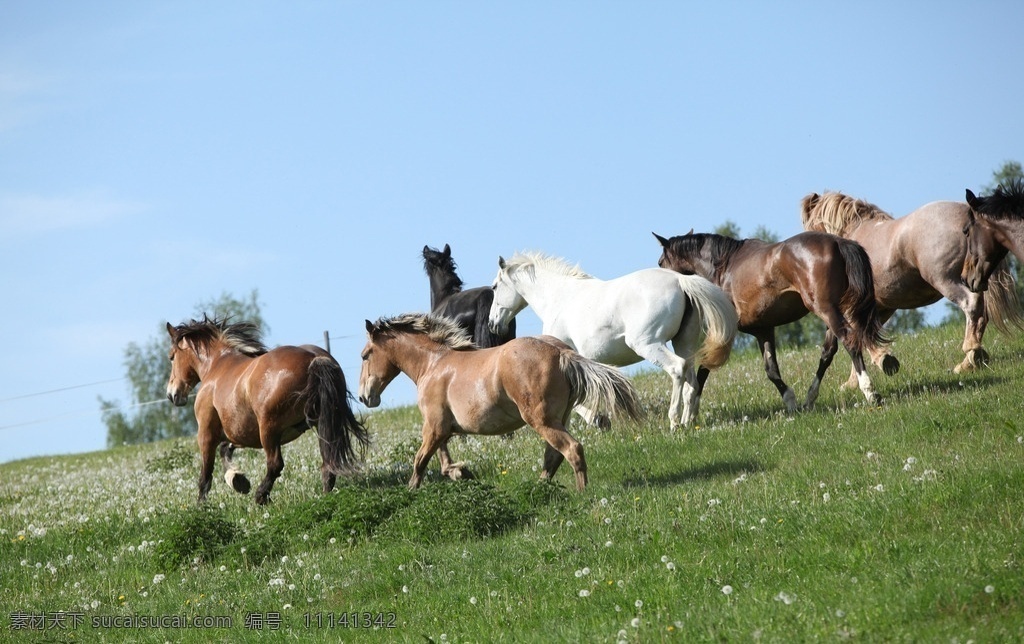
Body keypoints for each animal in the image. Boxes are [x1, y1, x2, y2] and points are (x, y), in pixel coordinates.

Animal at [166, 316, 369, 505]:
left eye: (172, 356)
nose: (171, 394)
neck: (217, 365)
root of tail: (314, 359)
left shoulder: (207, 433)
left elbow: (206, 475)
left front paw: (202, 506)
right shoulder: (242, 434)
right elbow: (225, 450)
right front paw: (238, 480)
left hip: (269, 430)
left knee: (275, 464)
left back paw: (261, 496)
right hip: (321, 423)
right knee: (327, 463)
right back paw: (324, 496)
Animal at [357, 313, 644, 490]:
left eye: (365, 355)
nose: (364, 396)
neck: (434, 364)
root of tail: (561, 352)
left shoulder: (434, 426)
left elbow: (420, 462)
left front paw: (411, 492)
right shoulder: (444, 428)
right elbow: (442, 460)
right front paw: (460, 472)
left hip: (540, 419)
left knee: (572, 449)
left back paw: (580, 492)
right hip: (558, 418)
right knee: (553, 456)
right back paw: (539, 489)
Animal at [486, 252, 738, 430]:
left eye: (495, 287)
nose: (492, 324)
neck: (560, 298)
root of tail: (679, 280)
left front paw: (598, 420)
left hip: (648, 344)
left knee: (677, 369)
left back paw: (674, 422)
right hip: (684, 343)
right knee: (692, 382)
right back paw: (688, 421)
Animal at [654, 231, 895, 413]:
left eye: (660, 262)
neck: (724, 267)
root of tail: (837, 241)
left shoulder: (726, 332)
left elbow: (705, 367)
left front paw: (690, 409)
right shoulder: (764, 330)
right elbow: (772, 370)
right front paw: (790, 402)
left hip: (826, 310)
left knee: (850, 341)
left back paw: (870, 392)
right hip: (834, 312)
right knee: (828, 352)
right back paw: (809, 399)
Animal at [802, 191, 1024, 374]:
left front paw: (882, 361)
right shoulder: (882, 307)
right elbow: (863, 335)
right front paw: (855, 380)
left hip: (946, 280)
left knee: (972, 305)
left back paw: (971, 352)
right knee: (981, 315)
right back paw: (970, 360)